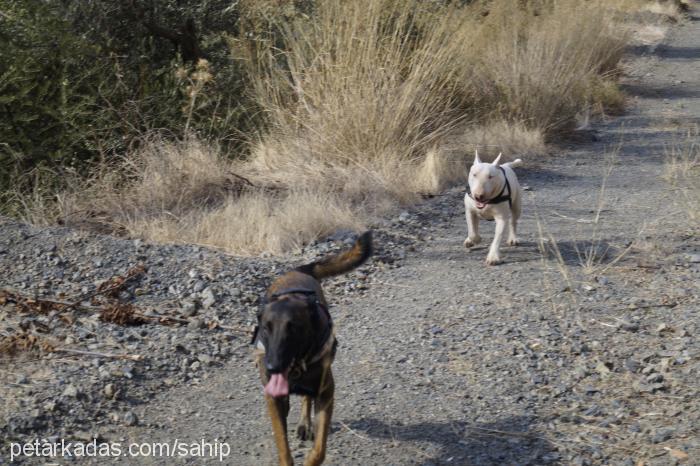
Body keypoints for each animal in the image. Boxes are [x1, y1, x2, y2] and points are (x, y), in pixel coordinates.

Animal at [252, 231, 372, 464]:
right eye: (265, 329)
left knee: (307, 399)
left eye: (293, 329)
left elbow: (320, 449)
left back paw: (305, 424)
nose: (272, 367)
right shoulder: (273, 399)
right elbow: (283, 445)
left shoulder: (326, 393)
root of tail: (297, 270)